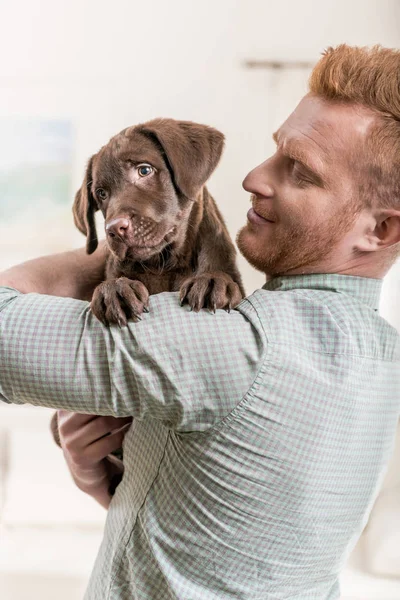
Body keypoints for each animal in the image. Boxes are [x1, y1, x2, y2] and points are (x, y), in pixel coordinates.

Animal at [50, 118, 244, 450]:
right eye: (101, 193)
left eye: (144, 170)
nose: (115, 229)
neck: (165, 263)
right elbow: (114, 280)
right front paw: (115, 291)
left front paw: (212, 281)